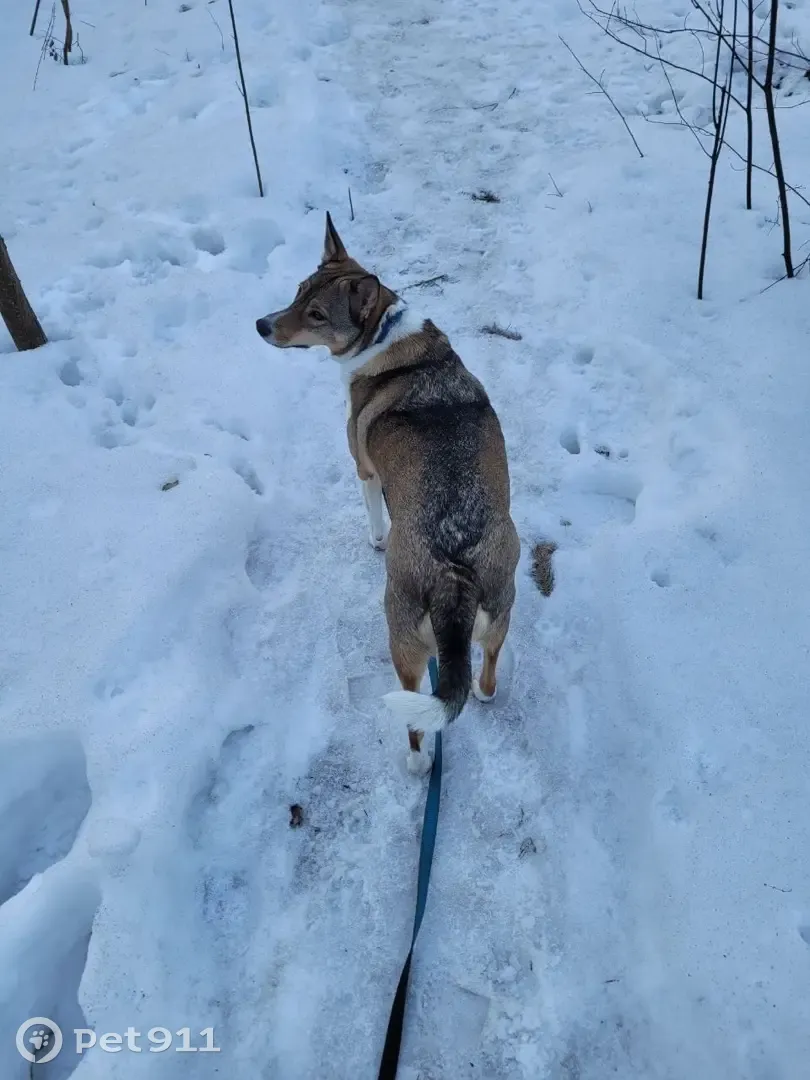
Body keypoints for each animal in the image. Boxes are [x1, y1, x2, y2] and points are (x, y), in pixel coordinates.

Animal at [257, 212, 522, 768]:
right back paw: (483, 690)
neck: (384, 337)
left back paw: (417, 762)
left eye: (316, 314)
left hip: (401, 642)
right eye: (297, 291)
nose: (260, 325)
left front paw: (375, 539)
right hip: (501, 611)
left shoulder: (364, 470)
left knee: (418, 720)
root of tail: (453, 574)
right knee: (487, 676)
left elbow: (374, 516)